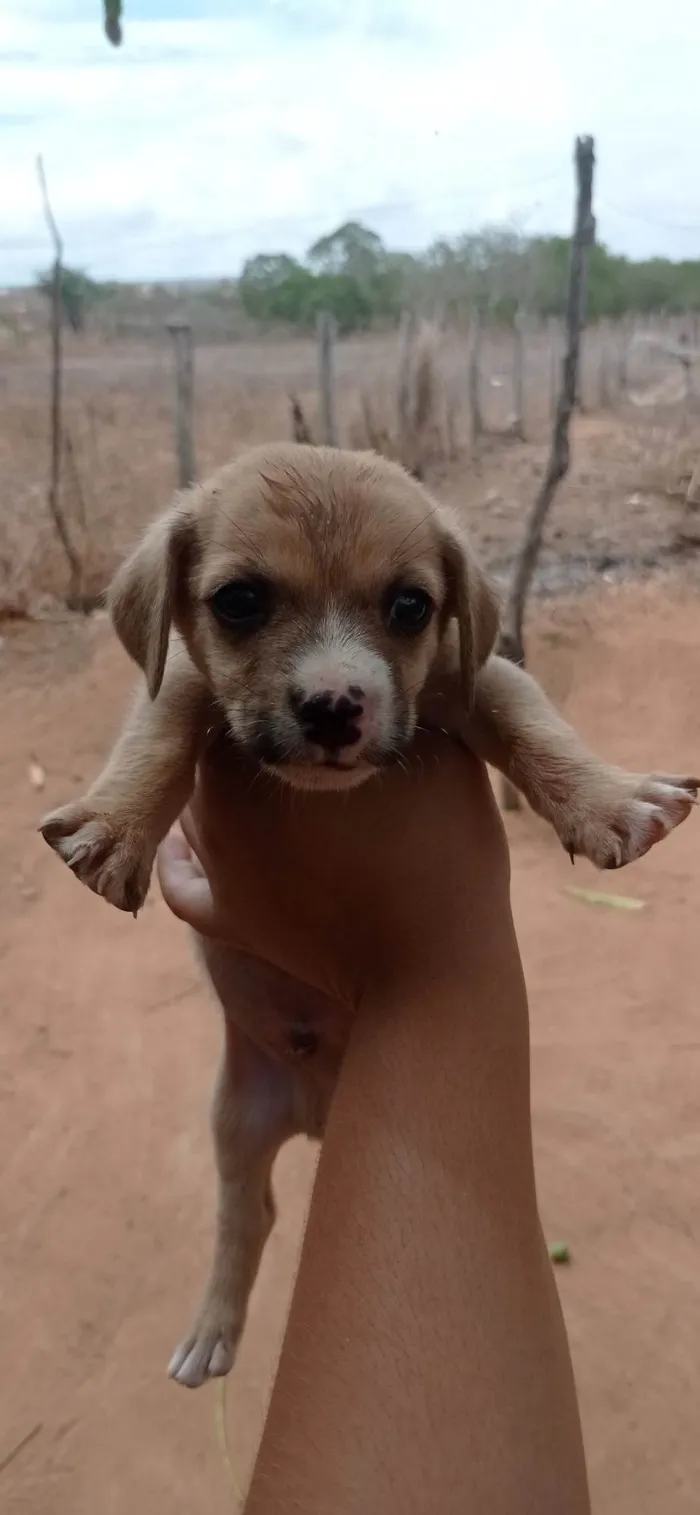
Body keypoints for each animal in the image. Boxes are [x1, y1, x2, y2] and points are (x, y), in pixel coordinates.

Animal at [42, 442, 693, 1387]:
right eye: (239, 601)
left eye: (410, 606)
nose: (334, 704)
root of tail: (317, 1108)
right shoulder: (190, 680)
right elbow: (163, 719)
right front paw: (115, 824)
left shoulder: (476, 672)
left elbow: (535, 721)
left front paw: (610, 798)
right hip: (233, 1122)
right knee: (248, 1216)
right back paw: (211, 1329)